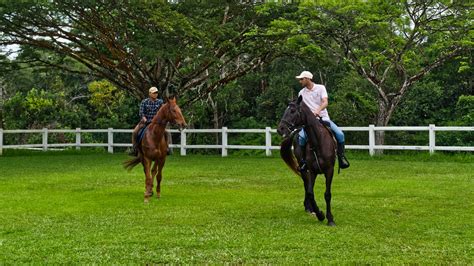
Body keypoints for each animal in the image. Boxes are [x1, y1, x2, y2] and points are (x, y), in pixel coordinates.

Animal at [276, 95, 338, 227]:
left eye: (292, 111)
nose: (280, 129)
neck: (318, 142)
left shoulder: (329, 170)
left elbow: (327, 194)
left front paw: (330, 219)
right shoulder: (312, 171)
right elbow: (310, 193)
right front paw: (320, 214)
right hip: (304, 168)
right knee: (306, 186)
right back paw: (309, 208)